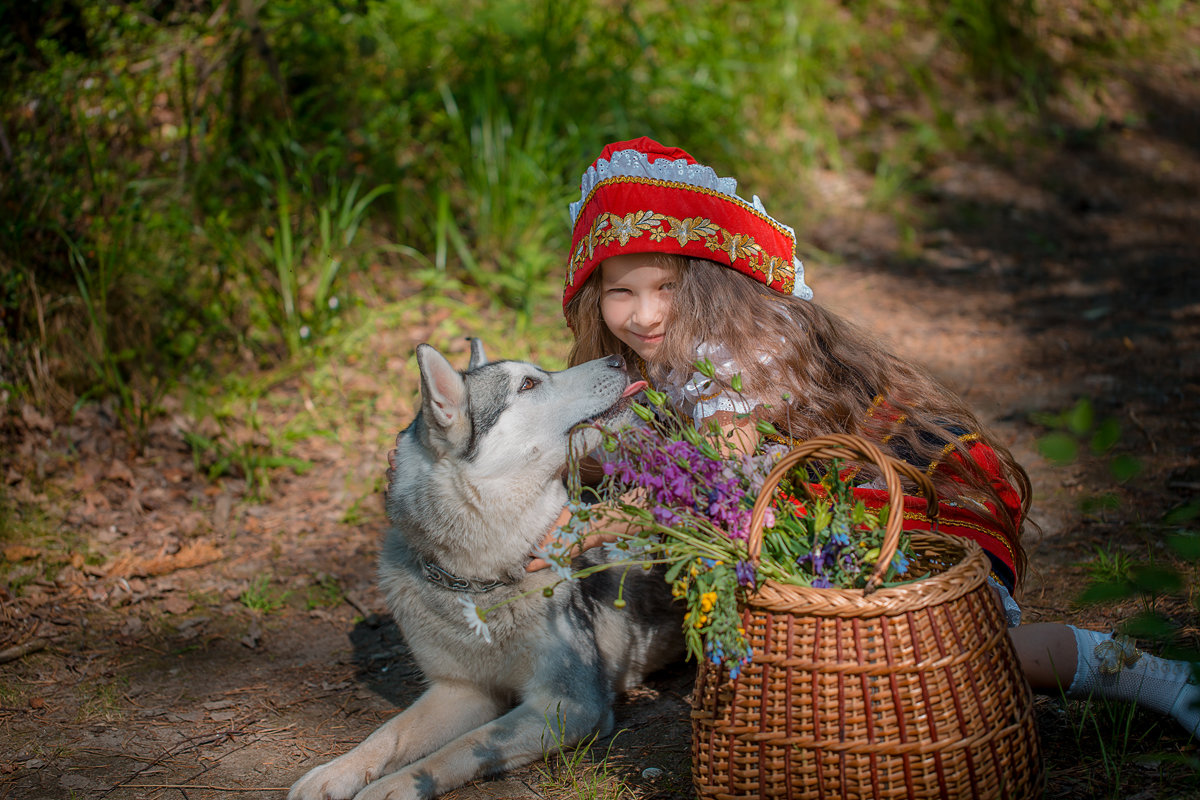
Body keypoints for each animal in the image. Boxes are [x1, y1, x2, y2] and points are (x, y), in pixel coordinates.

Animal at [288, 340, 686, 800]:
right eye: (528, 384)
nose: (618, 359)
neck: (480, 583)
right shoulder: (461, 692)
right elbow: (387, 735)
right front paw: (332, 773)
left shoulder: (568, 704)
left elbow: (465, 746)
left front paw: (395, 787)